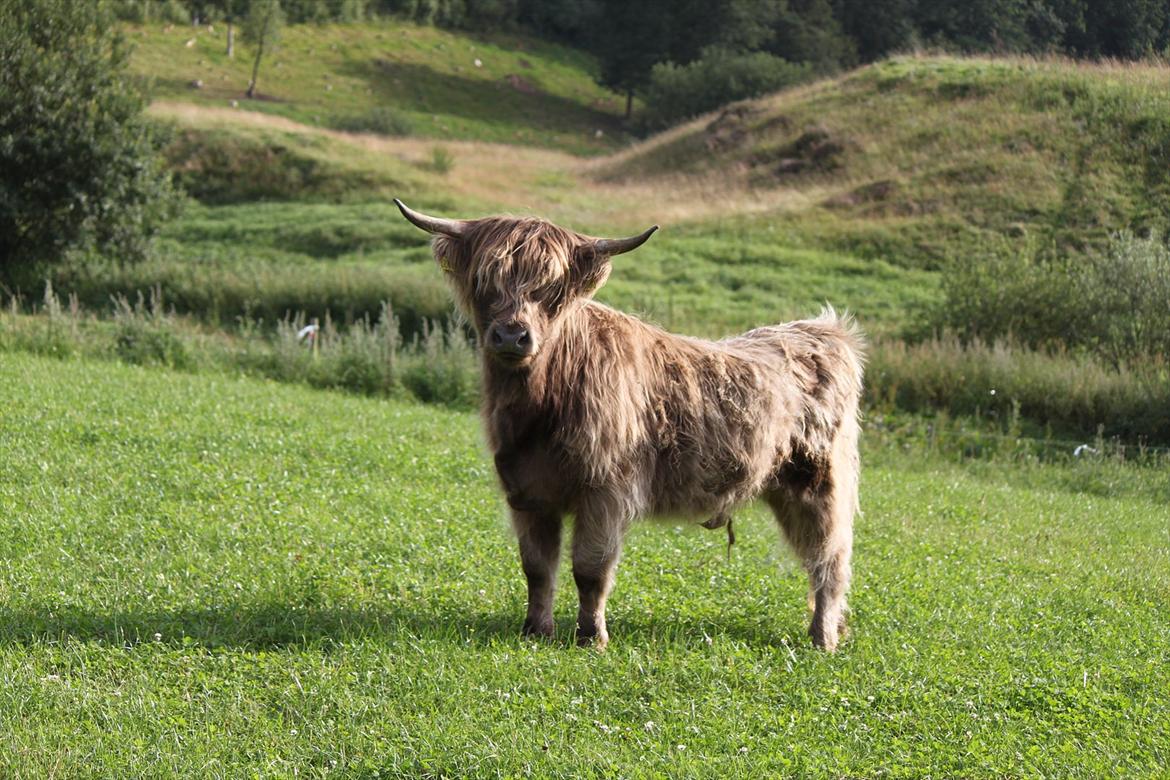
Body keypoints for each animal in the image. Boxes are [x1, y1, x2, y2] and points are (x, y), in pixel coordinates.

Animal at [395, 199, 864, 651]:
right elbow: (537, 567)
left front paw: (591, 637)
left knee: (829, 559)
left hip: (819, 486)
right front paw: (535, 630)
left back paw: (822, 637)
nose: (512, 336)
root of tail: (823, 330)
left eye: (553, 289)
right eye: (485, 280)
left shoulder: (606, 490)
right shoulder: (526, 491)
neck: (541, 405)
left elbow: (590, 569)